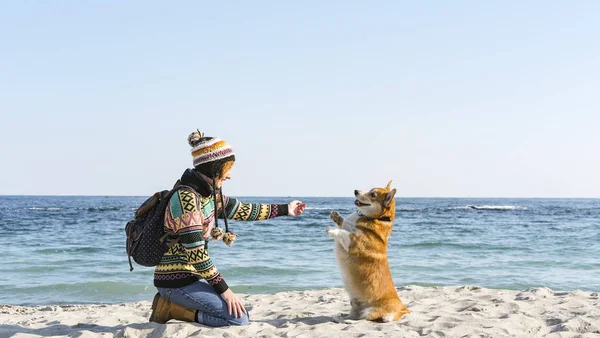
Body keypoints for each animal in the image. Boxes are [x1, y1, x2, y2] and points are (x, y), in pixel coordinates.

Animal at [326, 181, 410, 320]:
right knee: (354, 315)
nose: (355, 191)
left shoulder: (352, 241)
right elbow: (345, 224)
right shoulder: (350, 229)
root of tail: (403, 308)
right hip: (355, 304)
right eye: (370, 190)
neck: (377, 218)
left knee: (365, 318)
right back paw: (341, 318)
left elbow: (343, 232)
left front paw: (331, 229)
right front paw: (336, 217)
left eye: (373, 195)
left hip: (370, 312)